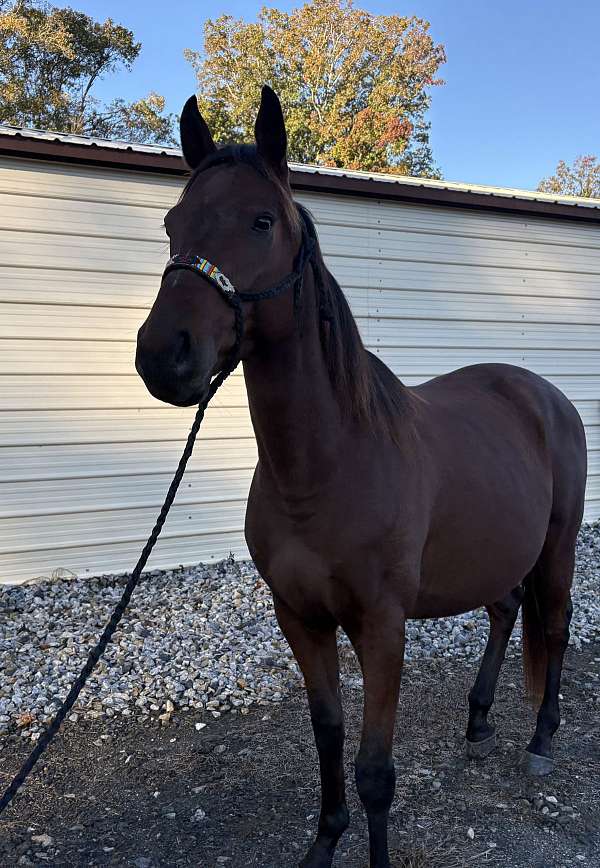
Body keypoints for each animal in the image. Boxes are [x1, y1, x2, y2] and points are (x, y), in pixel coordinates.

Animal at [135, 86, 587, 868]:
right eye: (172, 224)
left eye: (261, 221)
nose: (164, 356)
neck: (325, 468)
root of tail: (544, 394)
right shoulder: (299, 618)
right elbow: (328, 735)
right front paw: (323, 843)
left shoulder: (381, 625)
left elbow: (376, 768)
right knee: (505, 611)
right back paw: (477, 723)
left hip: (558, 546)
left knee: (554, 629)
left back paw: (540, 741)